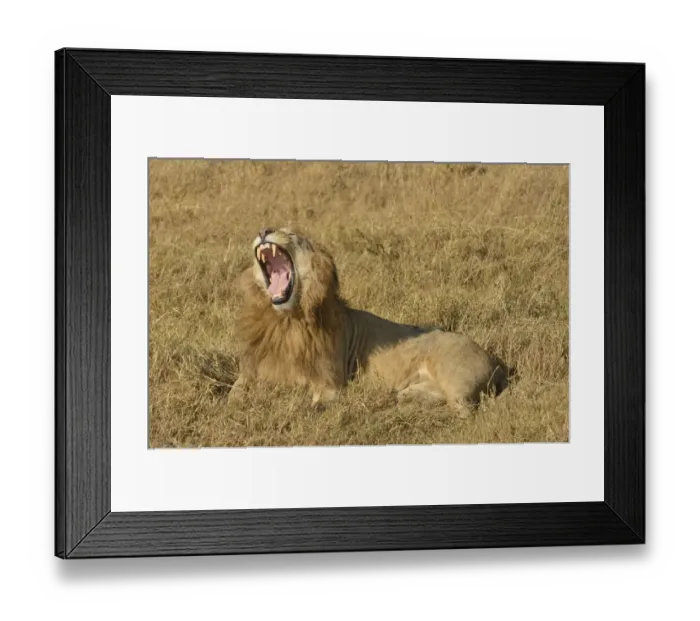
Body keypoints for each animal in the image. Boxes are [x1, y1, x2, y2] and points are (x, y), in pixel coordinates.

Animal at [228, 227, 509, 413]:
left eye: (293, 234)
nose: (264, 230)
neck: (285, 321)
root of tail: (495, 361)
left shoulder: (331, 383)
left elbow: (312, 406)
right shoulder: (252, 371)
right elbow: (234, 394)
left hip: (454, 375)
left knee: (466, 410)